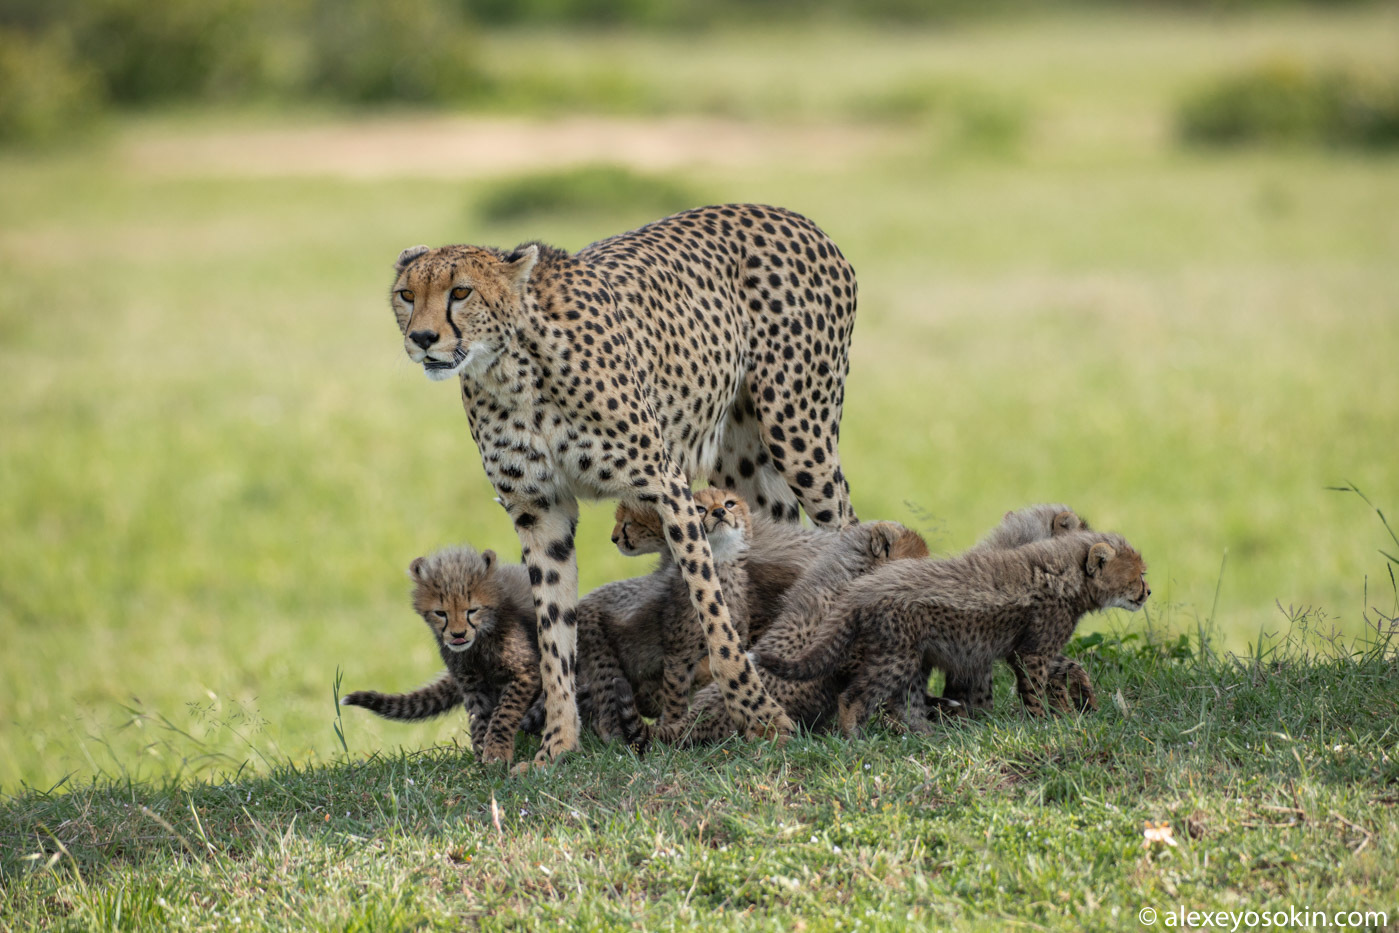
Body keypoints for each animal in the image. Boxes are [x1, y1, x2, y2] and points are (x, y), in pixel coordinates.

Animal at [388, 204, 856, 766]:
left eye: (461, 292)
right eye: (406, 295)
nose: (422, 338)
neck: (511, 369)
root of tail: (787, 213)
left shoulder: (667, 484)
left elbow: (714, 618)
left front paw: (761, 717)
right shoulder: (539, 510)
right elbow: (554, 635)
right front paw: (557, 745)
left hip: (801, 437)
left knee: (848, 529)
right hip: (742, 462)